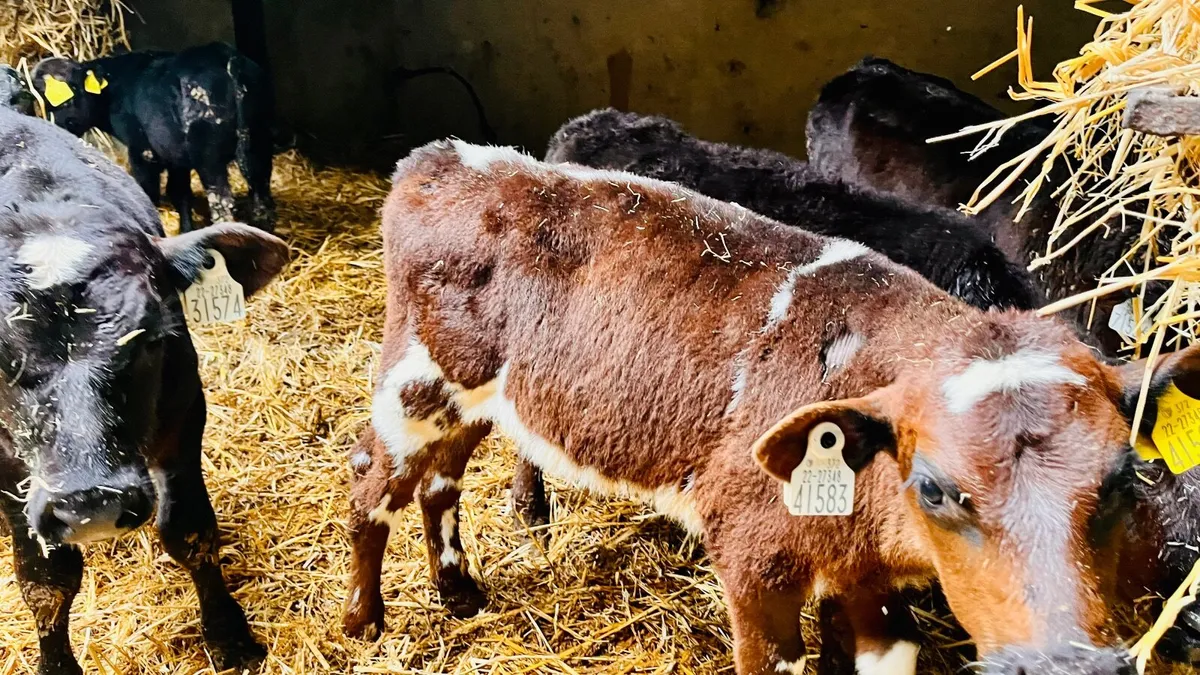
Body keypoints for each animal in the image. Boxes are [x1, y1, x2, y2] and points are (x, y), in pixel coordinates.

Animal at [0, 106, 288, 674]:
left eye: (153, 336)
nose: (92, 502)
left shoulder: (184, 414)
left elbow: (190, 532)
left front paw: (230, 638)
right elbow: (44, 580)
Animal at [32, 42, 275, 233]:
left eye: (72, 91)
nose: (58, 123)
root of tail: (226, 56)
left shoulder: (142, 151)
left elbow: (149, 192)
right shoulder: (176, 156)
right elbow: (179, 193)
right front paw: (186, 229)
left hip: (209, 159)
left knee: (223, 203)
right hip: (260, 143)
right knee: (261, 194)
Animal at [342, 138, 1193, 675]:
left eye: (1124, 479)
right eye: (935, 487)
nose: (1068, 664)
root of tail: (444, 157)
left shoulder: (870, 584)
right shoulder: (753, 558)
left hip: (479, 397)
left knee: (442, 481)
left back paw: (459, 590)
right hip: (413, 381)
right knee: (371, 485)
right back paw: (364, 619)